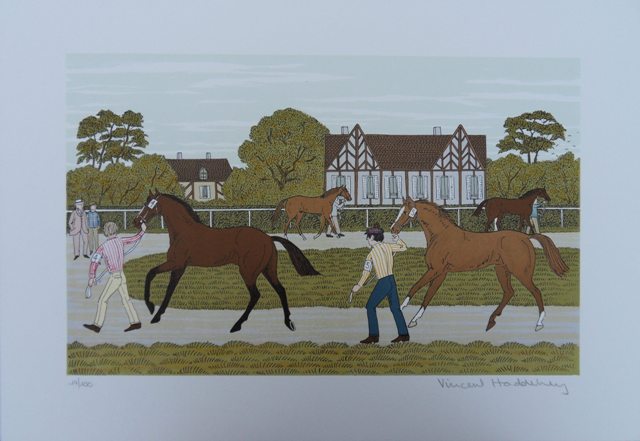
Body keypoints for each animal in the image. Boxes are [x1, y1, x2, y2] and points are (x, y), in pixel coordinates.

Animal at [133, 191, 320, 333]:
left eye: (150, 204)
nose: (136, 221)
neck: (183, 232)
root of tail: (268, 238)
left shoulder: (176, 263)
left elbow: (150, 273)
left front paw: (150, 307)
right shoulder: (179, 267)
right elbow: (169, 289)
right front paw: (157, 315)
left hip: (248, 271)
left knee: (256, 295)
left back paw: (237, 325)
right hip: (268, 269)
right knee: (281, 290)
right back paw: (288, 322)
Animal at [391, 197, 568, 332]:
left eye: (404, 212)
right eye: (399, 211)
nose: (393, 229)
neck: (440, 236)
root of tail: (526, 237)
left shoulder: (435, 270)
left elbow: (418, 288)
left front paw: (407, 314)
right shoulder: (440, 272)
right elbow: (426, 293)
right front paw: (411, 317)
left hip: (521, 272)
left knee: (536, 292)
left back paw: (539, 324)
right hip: (501, 270)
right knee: (509, 292)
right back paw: (491, 321)